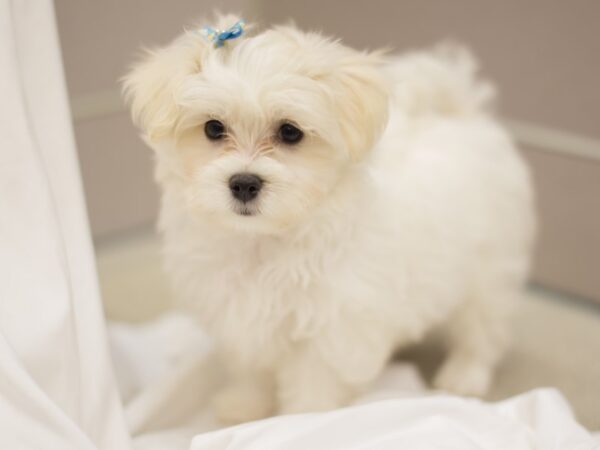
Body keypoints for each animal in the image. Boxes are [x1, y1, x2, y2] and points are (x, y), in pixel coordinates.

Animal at [122, 13, 536, 422]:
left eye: (290, 132)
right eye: (212, 128)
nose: (243, 183)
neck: (263, 240)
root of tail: (462, 114)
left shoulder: (330, 329)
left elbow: (314, 383)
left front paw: (304, 420)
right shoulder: (239, 315)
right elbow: (251, 368)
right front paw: (244, 406)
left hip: (489, 267)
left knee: (483, 327)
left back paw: (464, 375)